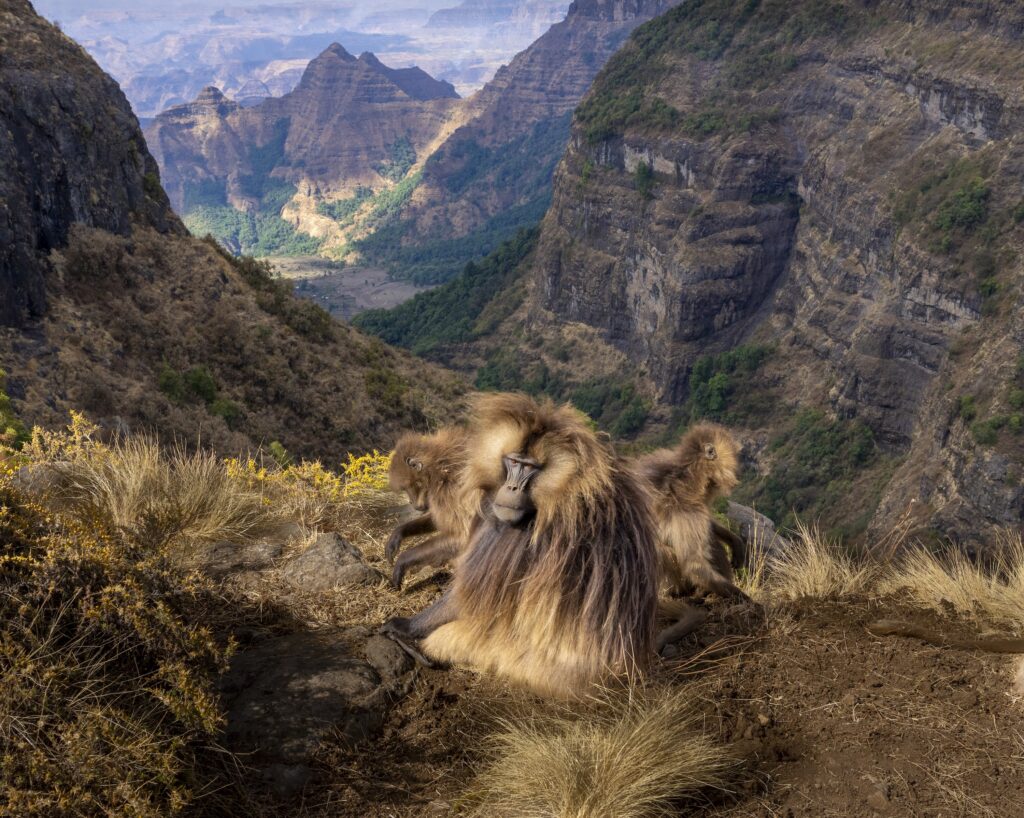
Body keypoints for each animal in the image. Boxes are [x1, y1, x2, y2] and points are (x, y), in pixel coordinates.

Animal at [384, 427, 473, 589]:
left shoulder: (452, 488)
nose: (413, 503)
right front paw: (397, 534)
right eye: (404, 489)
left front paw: (402, 561)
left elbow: (463, 535)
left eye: (409, 486)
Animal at [634, 422, 749, 603]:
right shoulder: (687, 510)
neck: (686, 474)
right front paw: (750, 601)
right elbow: (694, 564)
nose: (738, 470)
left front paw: (734, 540)